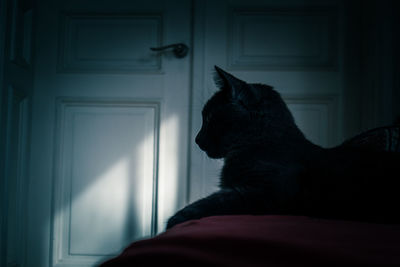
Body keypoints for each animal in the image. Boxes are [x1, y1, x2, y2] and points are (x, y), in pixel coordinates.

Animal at [166, 66, 400, 230]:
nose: (196, 139)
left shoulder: (268, 192)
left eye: (209, 118)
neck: (261, 145)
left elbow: (214, 202)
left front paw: (174, 220)